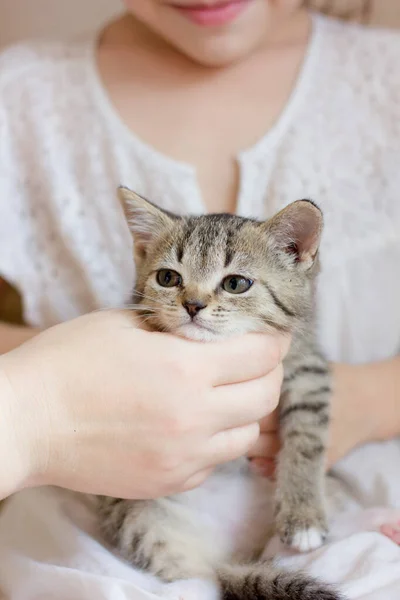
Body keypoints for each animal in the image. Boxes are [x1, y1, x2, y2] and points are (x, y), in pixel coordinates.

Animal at [94, 188, 340, 600]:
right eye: (168, 277)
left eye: (236, 284)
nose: (193, 305)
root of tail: (226, 553)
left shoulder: (308, 368)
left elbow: (306, 439)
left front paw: (303, 513)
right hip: (141, 518)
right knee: (196, 576)